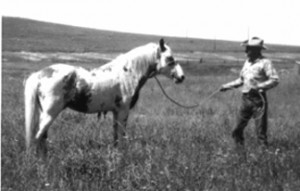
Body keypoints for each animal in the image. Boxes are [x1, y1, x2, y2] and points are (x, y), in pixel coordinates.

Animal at [24, 38, 185, 158]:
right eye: (170, 58)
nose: (181, 77)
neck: (128, 73)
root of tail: (40, 74)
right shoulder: (123, 111)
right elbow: (121, 134)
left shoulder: (116, 112)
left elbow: (116, 135)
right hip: (50, 113)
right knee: (38, 137)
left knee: (42, 137)